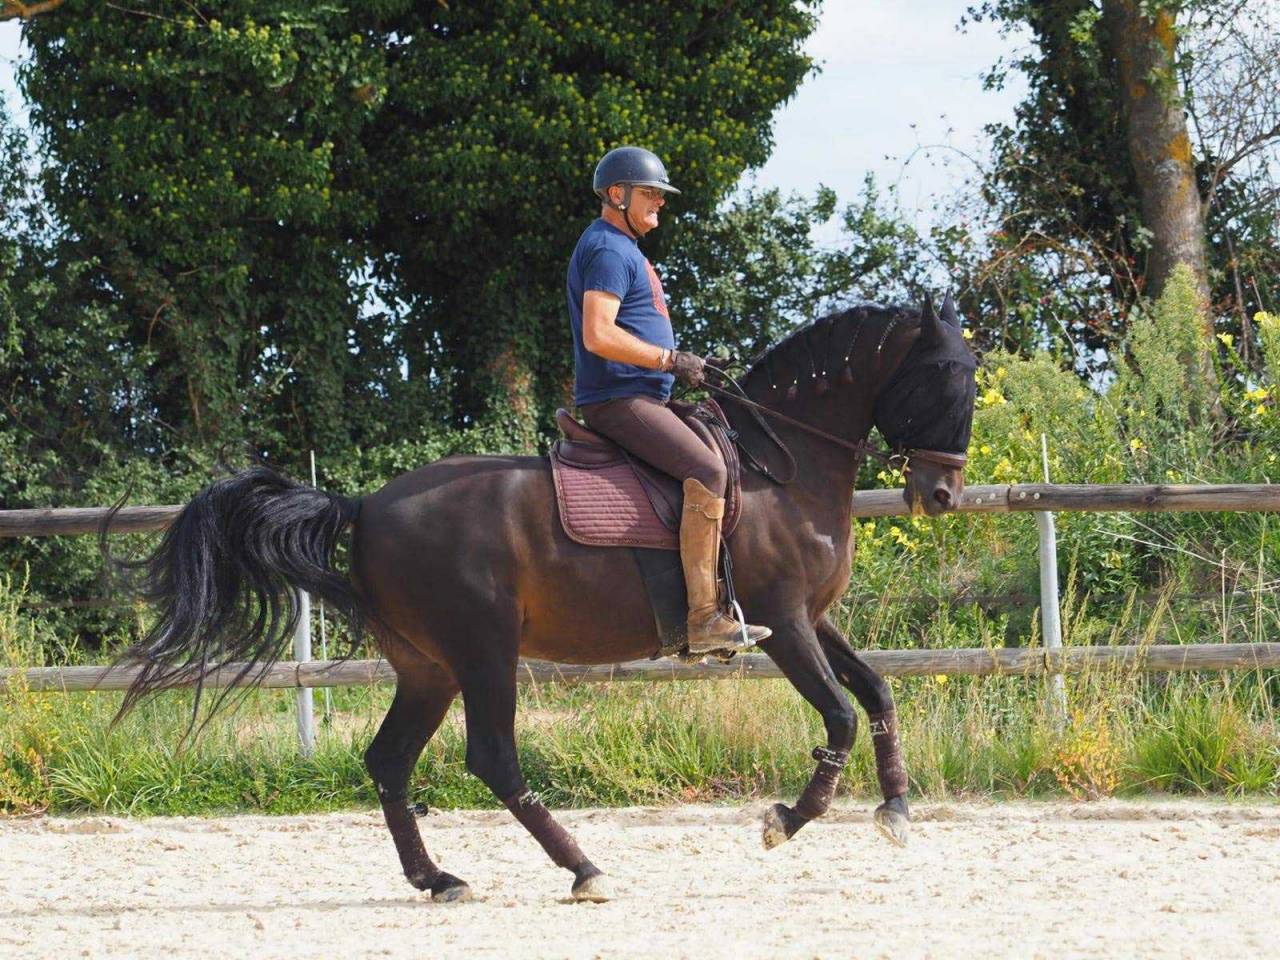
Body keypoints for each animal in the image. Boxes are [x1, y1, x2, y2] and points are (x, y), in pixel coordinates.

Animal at [107, 295, 977, 904]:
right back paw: (584, 868)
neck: (779, 465)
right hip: (483, 651)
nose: (940, 495)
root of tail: (364, 507)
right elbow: (839, 714)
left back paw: (439, 880)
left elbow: (877, 691)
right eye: (944, 377)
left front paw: (896, 810)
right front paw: (785, 822)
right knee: (492, 757)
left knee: (390, 761)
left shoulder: (811, 618)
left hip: (428, 668)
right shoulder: (783, 622)